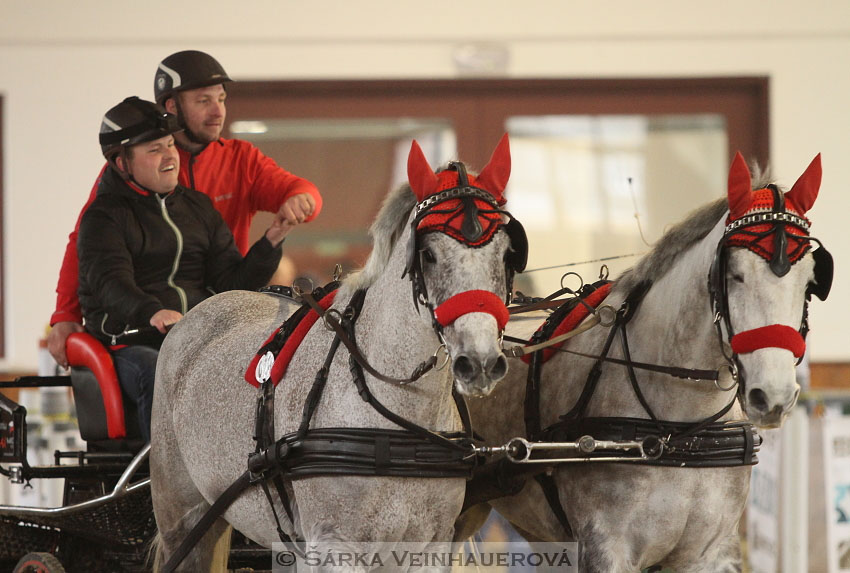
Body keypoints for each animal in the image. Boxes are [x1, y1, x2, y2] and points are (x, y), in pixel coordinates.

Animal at [152, 136, 524, 568]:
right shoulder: (335, 545)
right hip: (186, 520)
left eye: (507, 253)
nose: (479, 363)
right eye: (429, 254)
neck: (400, 418)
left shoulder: (429, 545)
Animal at [458, 152, 828, 572]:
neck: (681, 430)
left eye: (810, 281)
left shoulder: (706, 553)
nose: (774, 395)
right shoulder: (606, 547)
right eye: (735, 275)